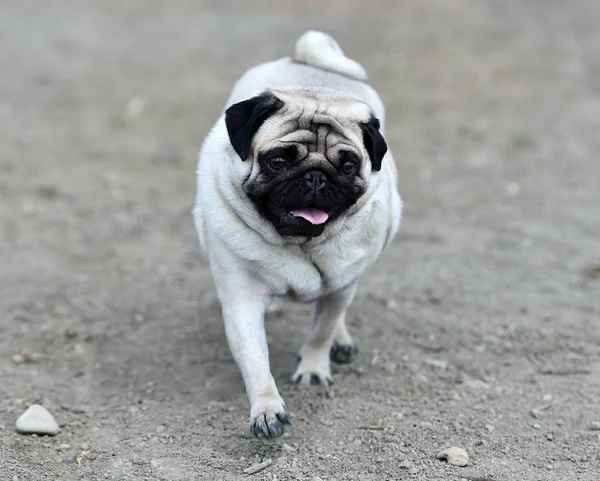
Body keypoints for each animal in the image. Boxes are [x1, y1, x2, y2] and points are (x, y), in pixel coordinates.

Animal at [195, 29, 400, 436]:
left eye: (349, 165)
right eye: (278, 161)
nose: (316, 177)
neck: (300, 243)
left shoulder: (340, 286)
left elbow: (322, 329)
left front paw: (314, 369)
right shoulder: (241, 301)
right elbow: (255, 358)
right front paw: (267, 409)